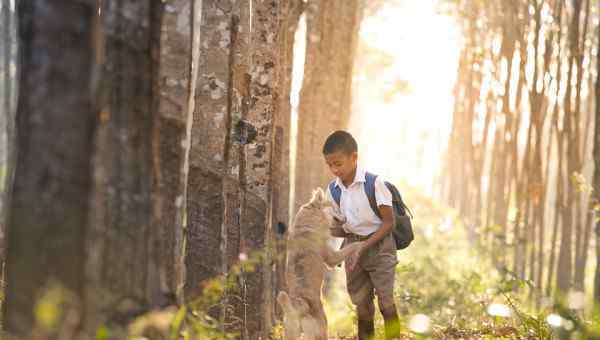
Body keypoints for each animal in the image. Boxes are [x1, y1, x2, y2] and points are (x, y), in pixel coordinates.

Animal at [276, 187, 360, 338]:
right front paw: (362, 244)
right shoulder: (332, 257)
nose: (346, 218)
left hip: (291, 332)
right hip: (322, 329)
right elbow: (352, 246)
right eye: (335, 208)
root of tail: (297, 308)